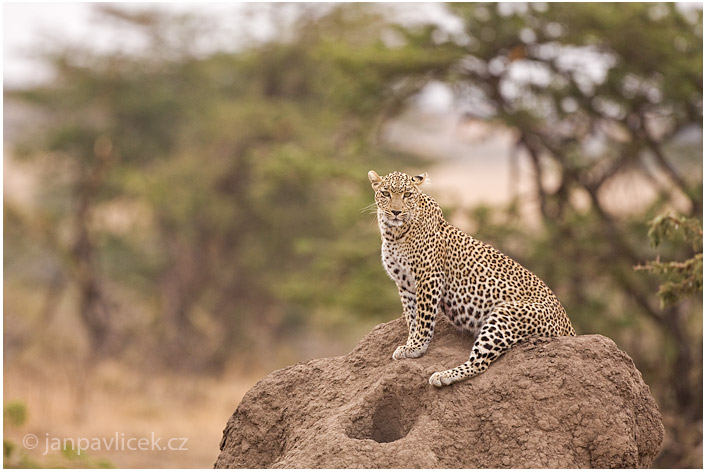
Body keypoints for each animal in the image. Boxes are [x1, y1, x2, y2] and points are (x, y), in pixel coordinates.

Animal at [366, 170, 576, 388]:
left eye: (407, 194)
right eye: (386, 193)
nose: (396, 212)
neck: (393, 233)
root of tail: (568, 327)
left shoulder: (429, 276)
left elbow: (424, 317)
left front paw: (416, 346)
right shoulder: (405, 283)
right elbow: (411, 316)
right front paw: (409, 344)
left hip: (504, 315)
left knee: (480, 363)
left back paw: (442, 376)